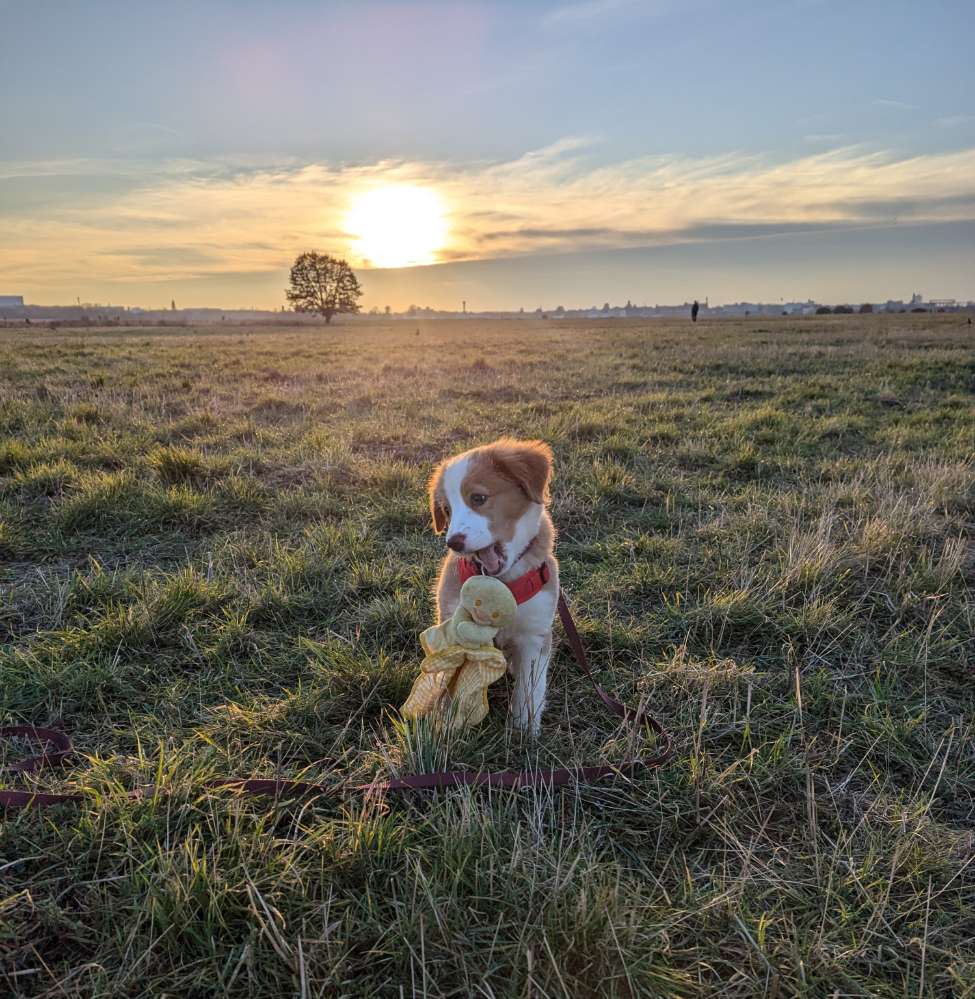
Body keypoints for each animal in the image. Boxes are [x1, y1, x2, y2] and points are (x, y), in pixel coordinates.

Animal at [428, 438, 560, 736]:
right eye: (447, 510)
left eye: (478, 498)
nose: (453, 542)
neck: (502, 583)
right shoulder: (453, 626)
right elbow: (450, 679)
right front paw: (447, 721)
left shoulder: (535, 634)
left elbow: (529, 688)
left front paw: (524, 728)